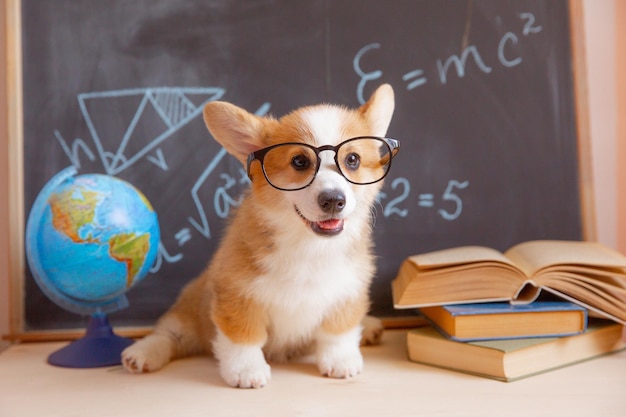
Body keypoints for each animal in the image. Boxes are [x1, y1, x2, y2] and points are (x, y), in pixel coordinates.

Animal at [120, 83, 394, 386]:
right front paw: (246, 371)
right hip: (191, 308)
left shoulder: (347, 291)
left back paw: (369, 325)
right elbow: (243, 336)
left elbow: (339, 331)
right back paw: (142, 353)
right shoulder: (237, 293)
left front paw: (340, 360)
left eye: (353, 159)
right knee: (170, 333)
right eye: (299, 161)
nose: (333, 200)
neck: (308, 246)